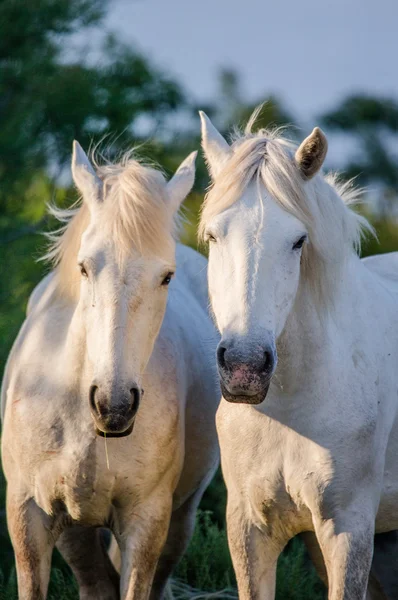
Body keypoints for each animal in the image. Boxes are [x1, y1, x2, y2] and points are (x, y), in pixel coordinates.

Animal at [0, 144, 219, 600]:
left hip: (179, 521)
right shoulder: (27, 513)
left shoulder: (146, 520)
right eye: (85, 267)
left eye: (166, 277)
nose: (113, 406)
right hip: (75, 530)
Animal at [201, 109, 398, 600]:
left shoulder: (348, 530)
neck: (290, 409)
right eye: (213, 236)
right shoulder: (250, 530)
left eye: (297, 241)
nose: (245, 368)